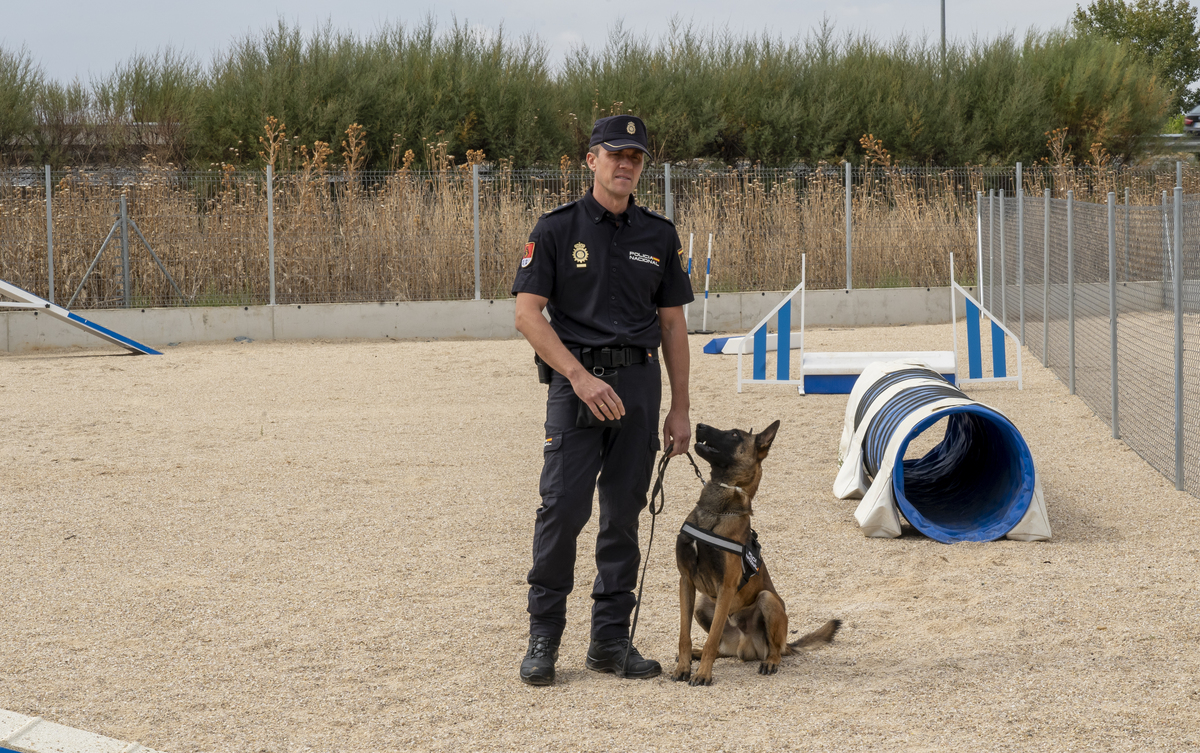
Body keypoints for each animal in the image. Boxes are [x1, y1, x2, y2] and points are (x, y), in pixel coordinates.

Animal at [672, 419, 840, 685]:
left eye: (734, 435)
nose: (698, 425)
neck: (717, 511)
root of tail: (743, 645)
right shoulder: (686, 580)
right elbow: (684, 635)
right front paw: (684, 667)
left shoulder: (726, 587)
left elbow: (711, 639)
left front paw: (703, 674)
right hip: (701, 603)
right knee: (721, 648)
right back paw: (700, 655)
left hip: (768, 600)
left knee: (773, 649)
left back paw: (770, 661)